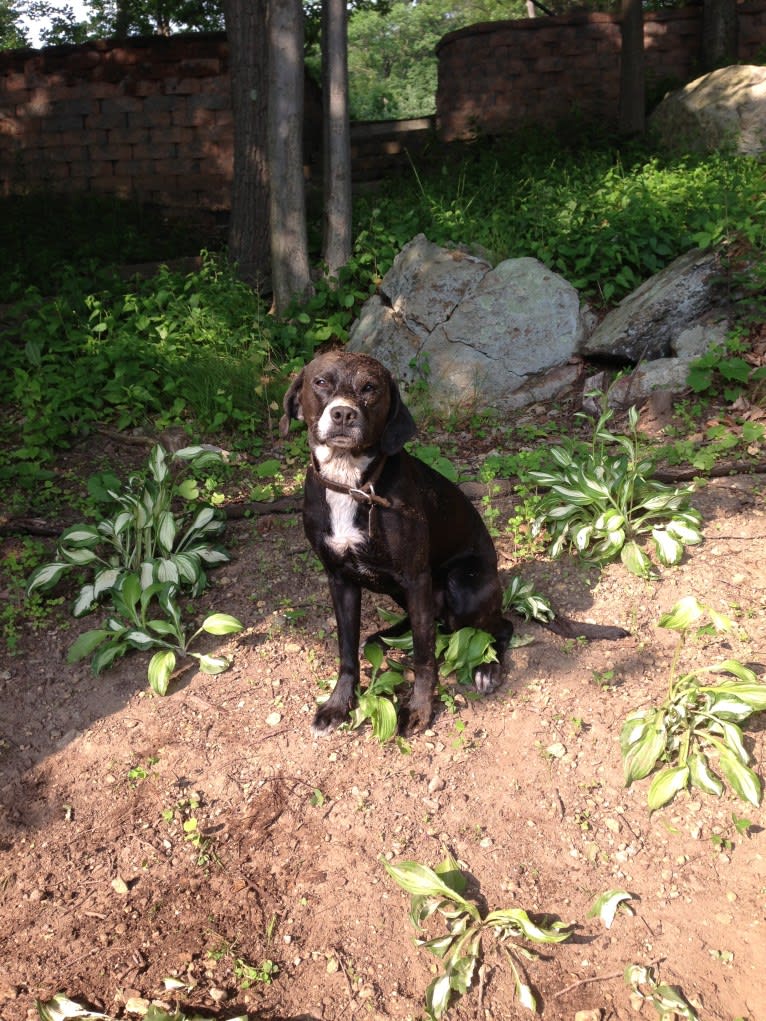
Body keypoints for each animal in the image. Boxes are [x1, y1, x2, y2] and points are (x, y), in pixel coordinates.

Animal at [281, 351, 625, 735]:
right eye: (320, 382)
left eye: (370, 388)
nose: (343, 413)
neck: (351, 482)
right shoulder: (340, 579)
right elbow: (346, 651)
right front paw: (338, 705)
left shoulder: (415, 578)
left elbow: (424, 656)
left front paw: (418, 709)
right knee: (433, 622)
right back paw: (386, 635)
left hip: (463, 587)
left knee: (498, 627)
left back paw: (487, 668)